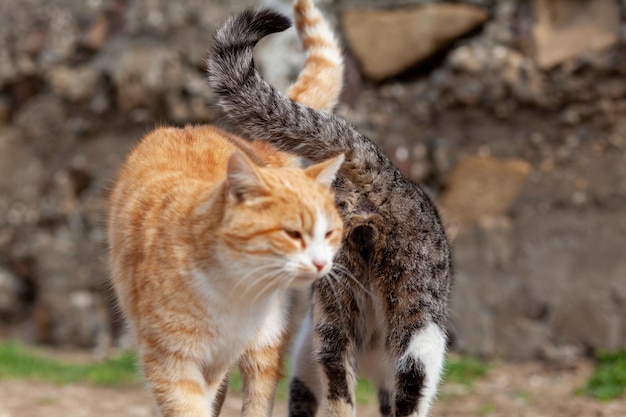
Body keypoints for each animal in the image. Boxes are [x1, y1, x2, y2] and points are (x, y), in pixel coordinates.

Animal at [106, 0, 342, 416]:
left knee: (259, 389)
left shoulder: (220, 357)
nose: (320, 263)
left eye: (328, 234)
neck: (228, 291)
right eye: (292, 234)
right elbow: (191, 406)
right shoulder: (171, 362)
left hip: (263, 341)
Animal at [207, 8, 450, 416]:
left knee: (338, 381)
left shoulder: (312, 352)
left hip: (333, 311)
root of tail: (381, 175)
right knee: (411, 384)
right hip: (419, 321)